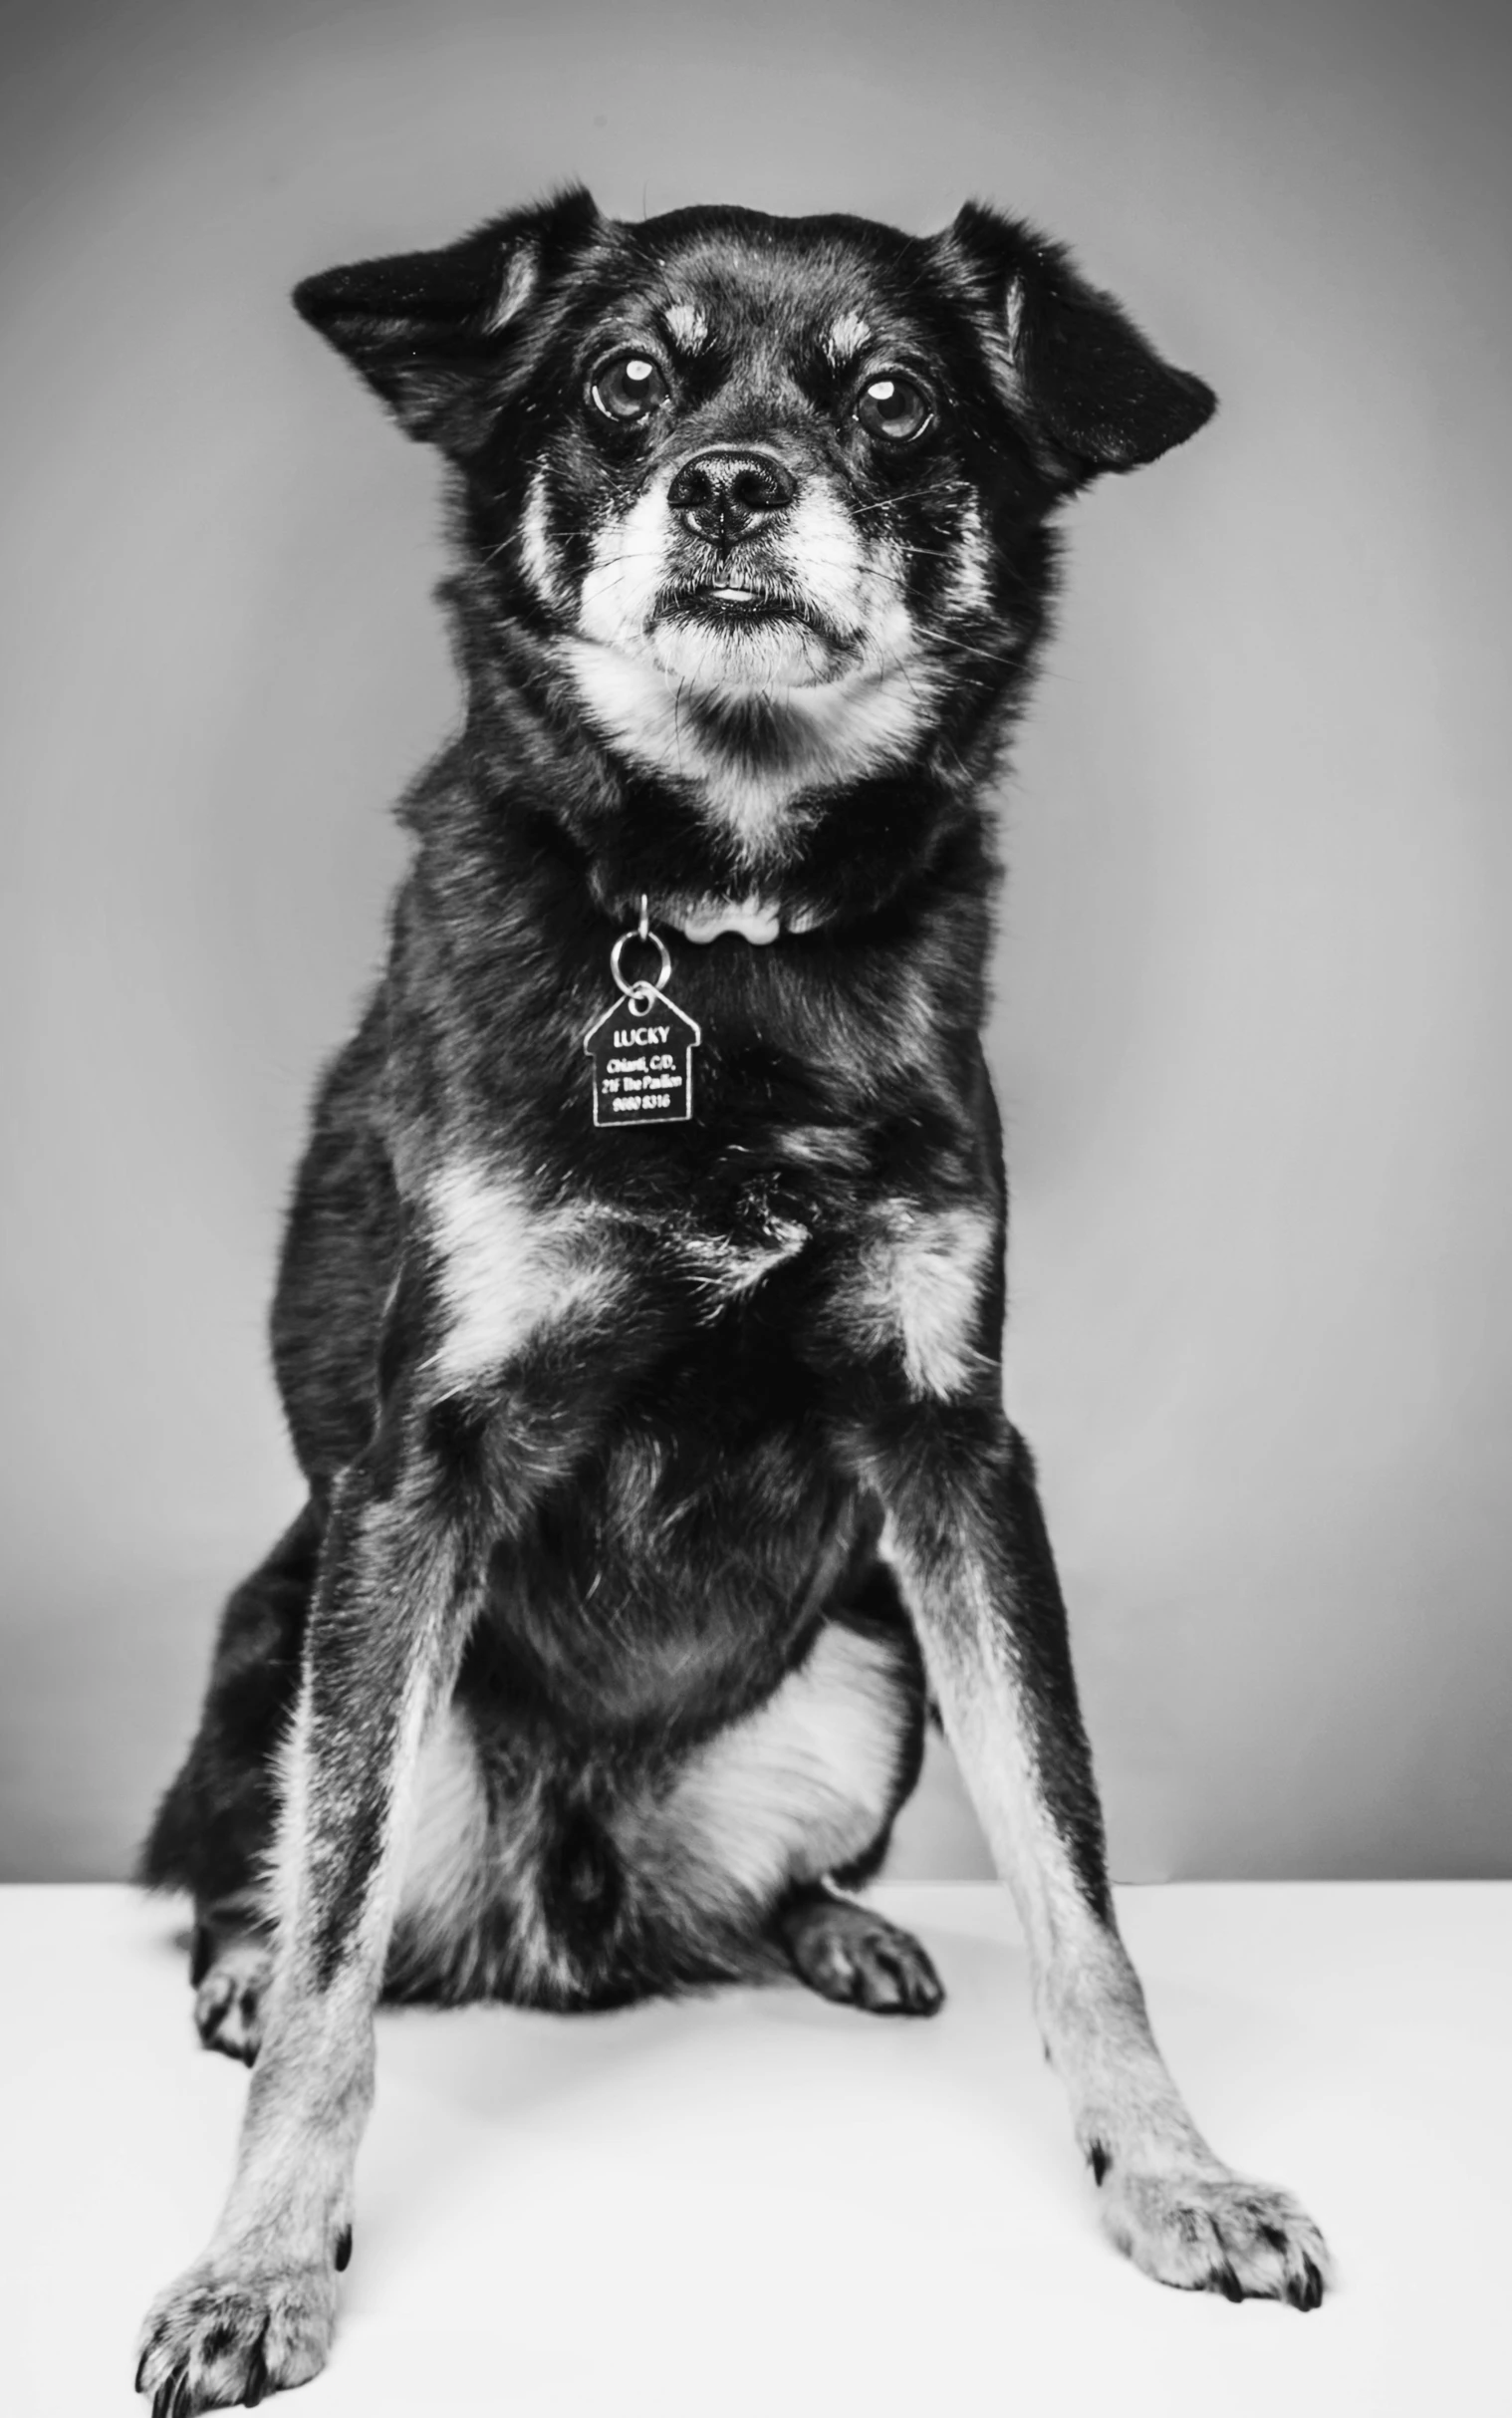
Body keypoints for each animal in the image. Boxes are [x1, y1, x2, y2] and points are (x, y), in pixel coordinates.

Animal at [138, 193, 1316, 2418]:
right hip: (285, 1627)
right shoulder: (415, 1476)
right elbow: (337, 1936)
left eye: (896, 400)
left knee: (771, 1888)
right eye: (625, 382)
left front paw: (1175, 2175)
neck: (720, 937)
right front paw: (255, 2265)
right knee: (281, 1883)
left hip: (869, 1654)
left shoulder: (955, 1457)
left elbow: (1077, 1874)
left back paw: (841, 1928)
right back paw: (240, 1971)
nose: (734, 484)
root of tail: (580, 1911)